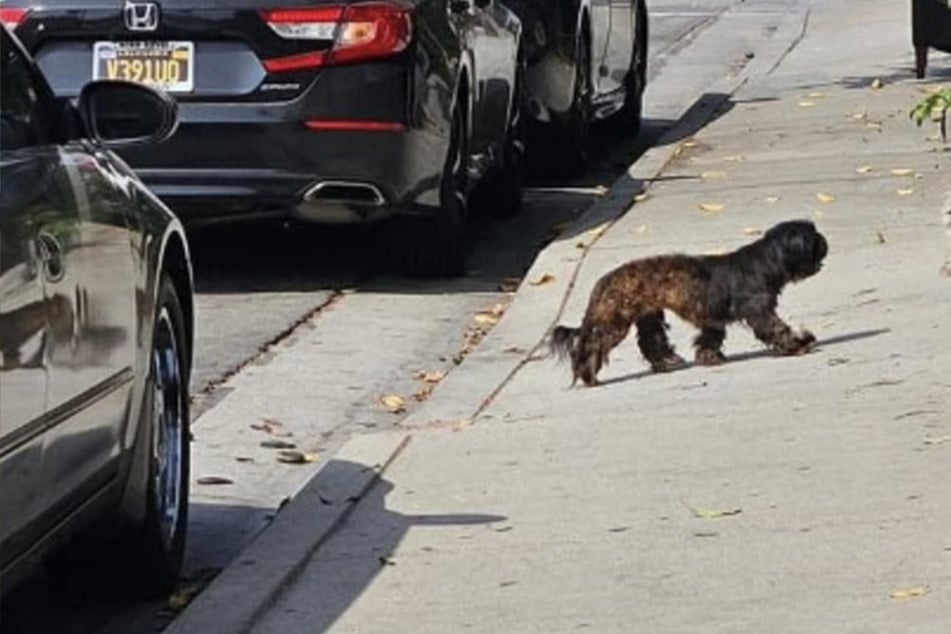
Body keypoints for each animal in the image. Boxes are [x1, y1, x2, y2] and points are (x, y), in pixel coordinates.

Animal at [548, 217, 828, 386]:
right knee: (593, 344)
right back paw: (587, 374)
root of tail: (604, 281)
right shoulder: (759, 312)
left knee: (651, 342)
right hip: (614, 322)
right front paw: (798, 344)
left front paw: (708, 357)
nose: (825, 240)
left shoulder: (713, 320)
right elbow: (776, 329)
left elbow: (710, 338)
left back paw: (667, 362)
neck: (766, 261)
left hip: (649, 315)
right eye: (813, 238)